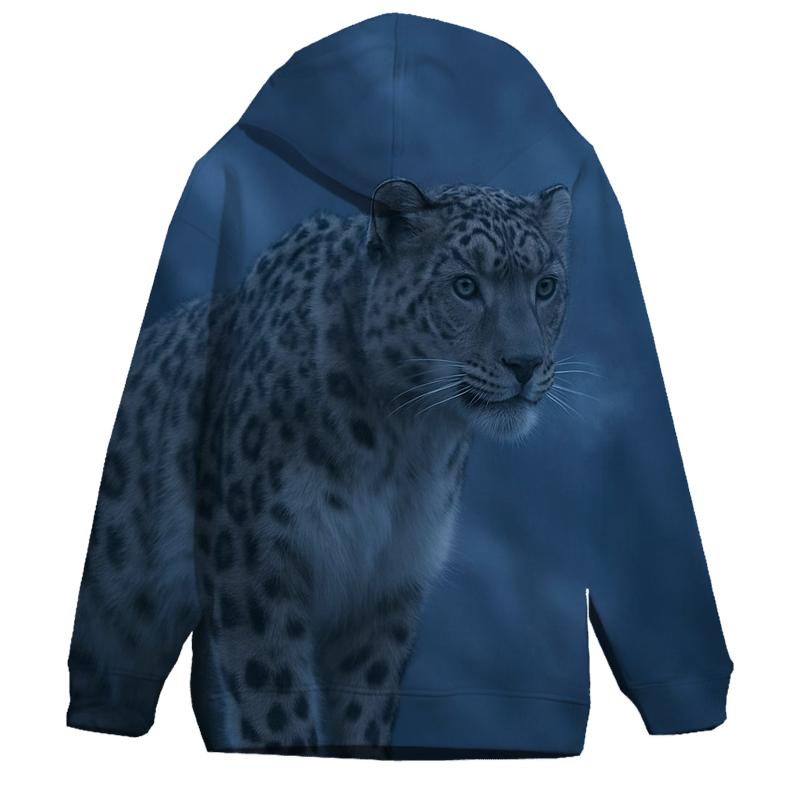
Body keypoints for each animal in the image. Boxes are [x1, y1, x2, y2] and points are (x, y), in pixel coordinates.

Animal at [68, 177, 572, 755]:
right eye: (465, 286)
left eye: (546, 287)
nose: (525, 364)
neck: (406, 448)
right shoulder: (258, 565)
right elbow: (276, 707)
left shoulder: (388, 587)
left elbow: (363, 710)